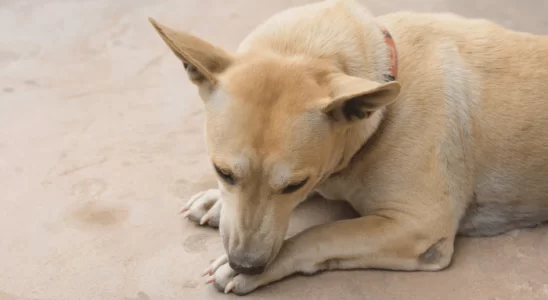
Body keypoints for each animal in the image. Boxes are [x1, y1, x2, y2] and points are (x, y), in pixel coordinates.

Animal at [148, 0, 548, 296]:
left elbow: (322, 233)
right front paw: (216, 201)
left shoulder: (419, 225)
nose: (246, 263)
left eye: (295, 184)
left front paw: (255, 270)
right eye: (223, 172)